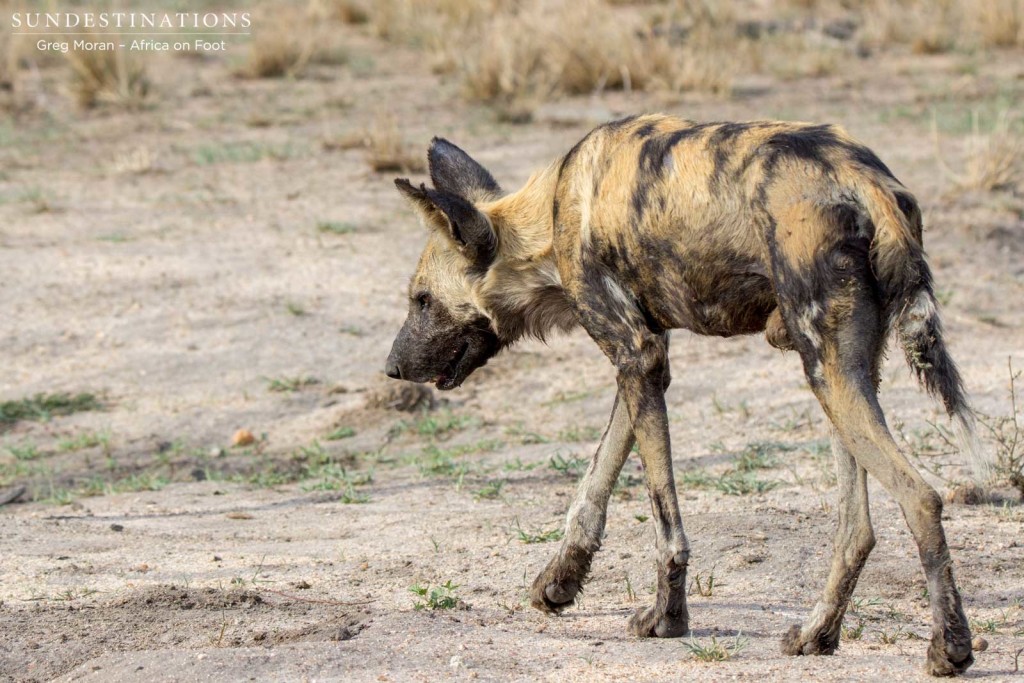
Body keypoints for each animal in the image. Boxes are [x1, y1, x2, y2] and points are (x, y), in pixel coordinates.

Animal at [382, 114, 983, 675]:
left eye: (421, 300)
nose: (391, 367)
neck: (552, 218)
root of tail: (867, 178)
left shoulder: (636, 355)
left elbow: (663, 520)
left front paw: (666, 618)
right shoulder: (645, 359)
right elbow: (592, 484)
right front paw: (561, 579)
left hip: (828, 371)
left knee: (921, 497)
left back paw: (949, 649)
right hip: (845, 374)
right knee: (857, 528)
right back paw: (818, 633)